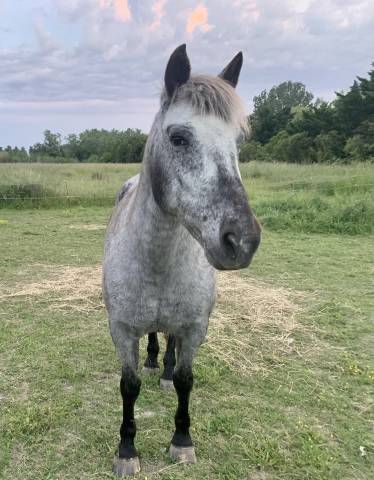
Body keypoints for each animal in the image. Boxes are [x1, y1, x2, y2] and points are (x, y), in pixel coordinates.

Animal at [102, 44, 260, 476]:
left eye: (239, 141)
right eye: (178, 137)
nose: (242, 240)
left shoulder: (194, 328)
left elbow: (188, 380)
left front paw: (182, 441)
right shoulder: (122, 330)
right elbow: (129, 385)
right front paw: (127, 450)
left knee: (168, 337)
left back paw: (167, 371)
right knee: (156, 337)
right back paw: (155, 362)